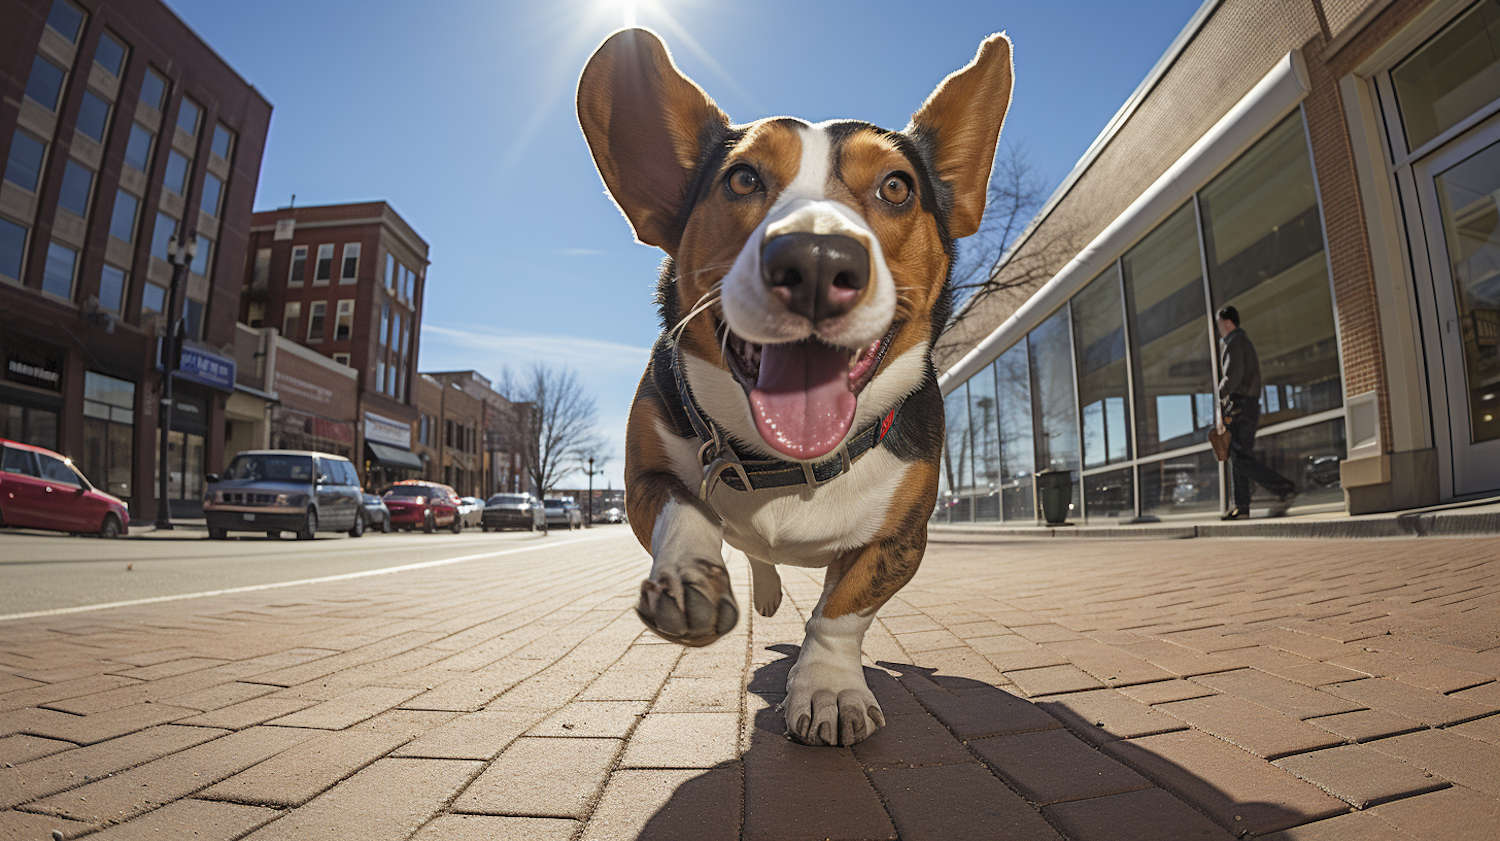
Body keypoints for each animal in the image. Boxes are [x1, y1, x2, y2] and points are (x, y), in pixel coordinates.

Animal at [579, 29, 1014, 743]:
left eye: (897, 187)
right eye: (743, 178)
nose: (815, 260)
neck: (787, 463)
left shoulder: (901, 540)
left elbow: (842, 609)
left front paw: (829, 687)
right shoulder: (646, 477)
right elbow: (686, 510)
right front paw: (689, 581)